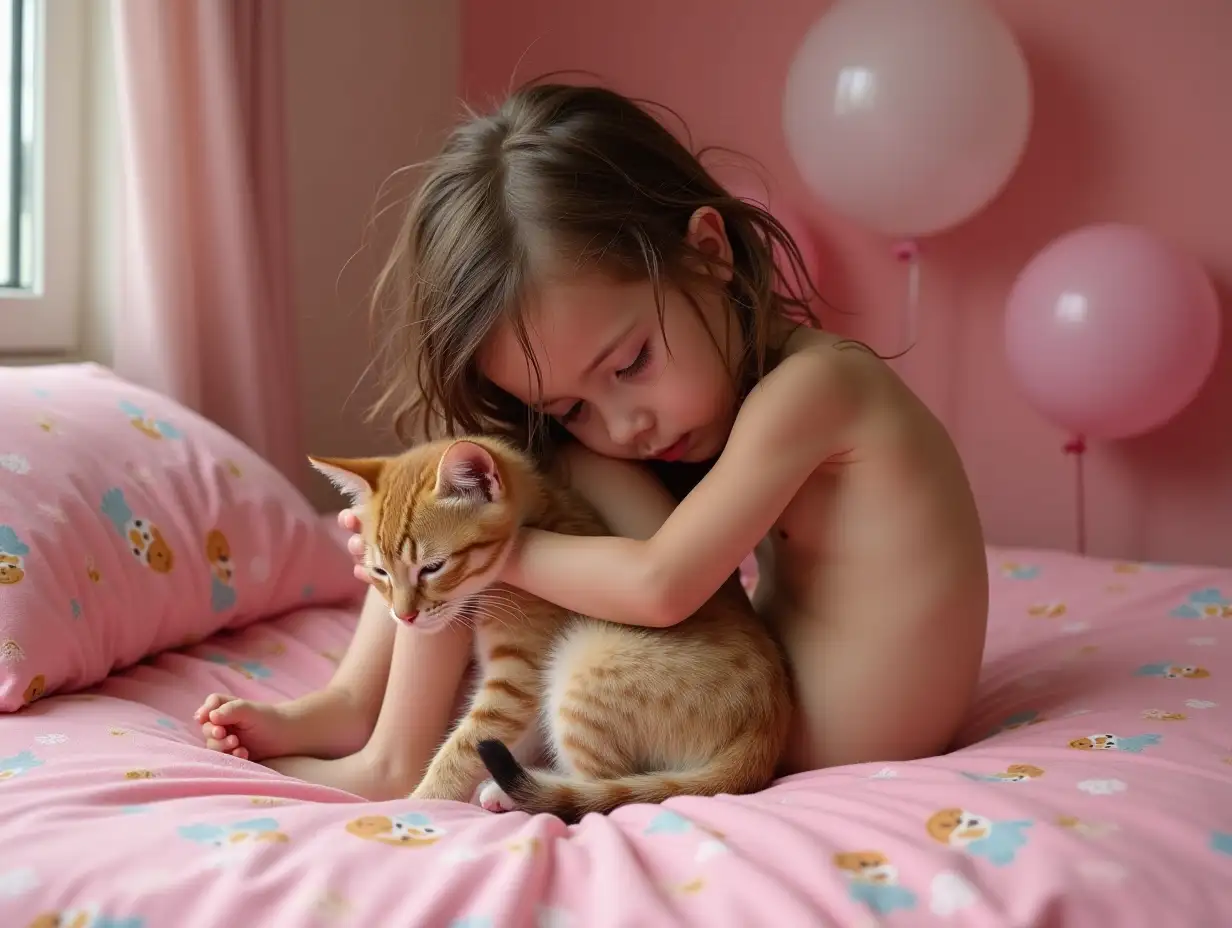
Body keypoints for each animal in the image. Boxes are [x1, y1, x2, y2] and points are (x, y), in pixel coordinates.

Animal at [308, 438, 788, 823]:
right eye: (379, 572)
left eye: (432, 567)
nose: (403, 617)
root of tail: (768, 727)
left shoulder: (517, 679)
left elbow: (464, 745)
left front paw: (422, 801)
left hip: (586, 663)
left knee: (604, 788)